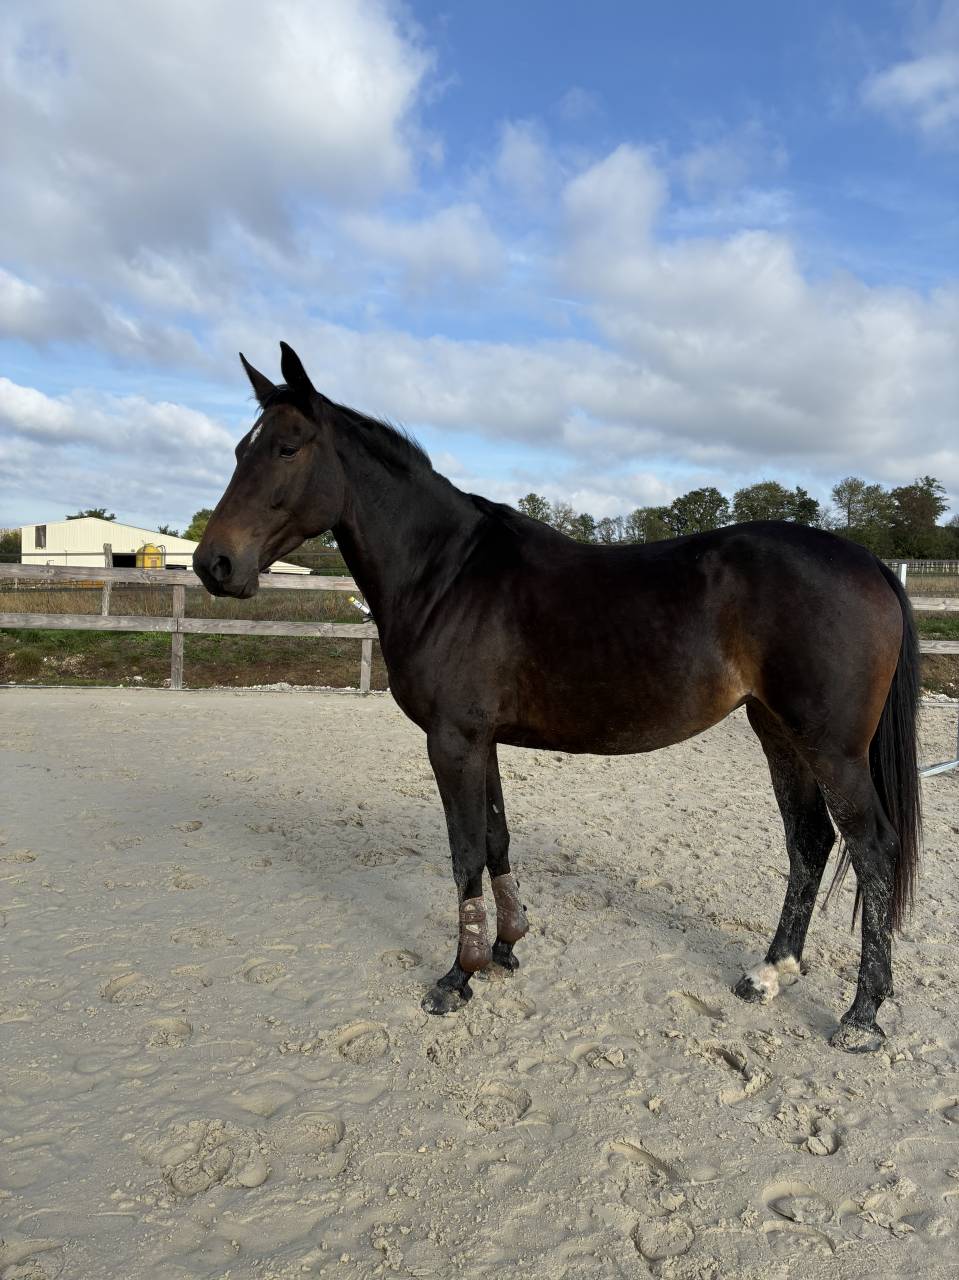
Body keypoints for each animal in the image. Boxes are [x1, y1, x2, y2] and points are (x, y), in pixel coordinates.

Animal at [194, 343, 921, 1054]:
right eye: (238, 450)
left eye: (288, 448)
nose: (213, 565)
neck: (446, 576)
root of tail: (867, 562)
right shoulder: (480, 739)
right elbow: (495, 839)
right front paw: (505, 949)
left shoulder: (452, 740)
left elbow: (464, 853)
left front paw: (457, 977)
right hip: (777, 732)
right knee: (809, 842)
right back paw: (769, 973)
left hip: (831, 748)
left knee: (872, 848)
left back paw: (861, 1017)